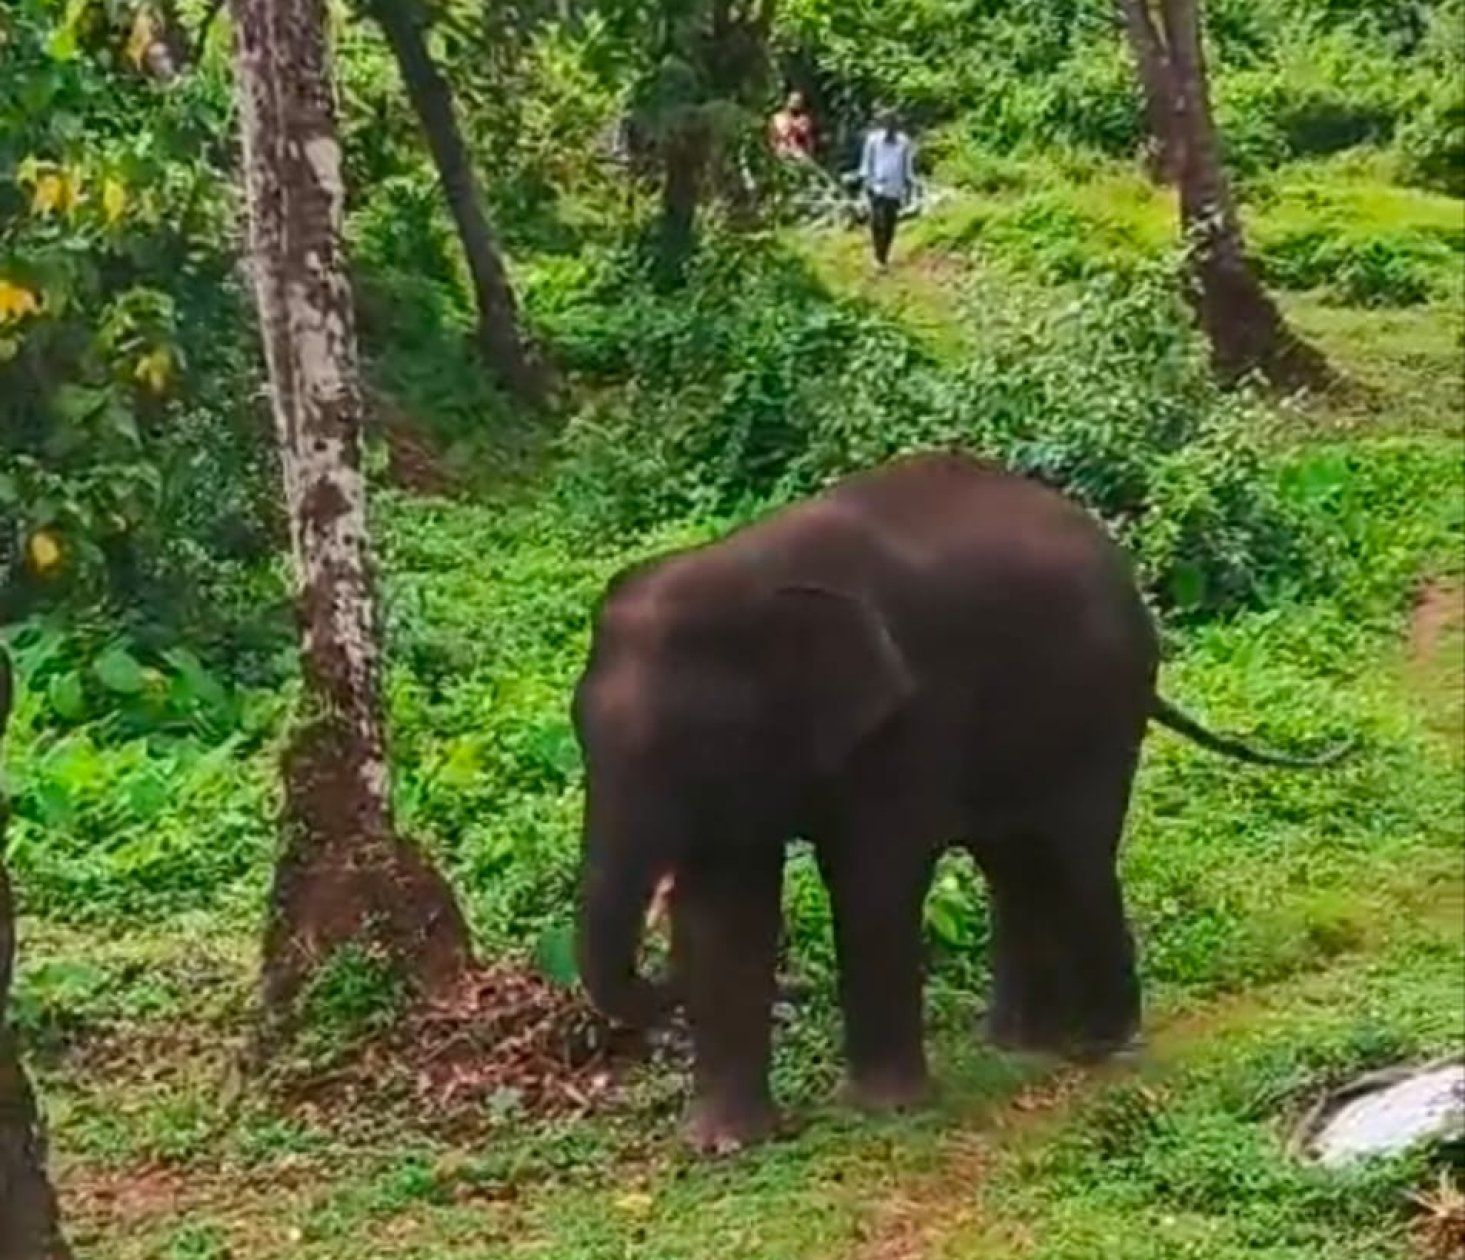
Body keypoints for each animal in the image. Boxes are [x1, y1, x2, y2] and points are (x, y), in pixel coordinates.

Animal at [570, 452, 1347, 1153]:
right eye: (578, 736)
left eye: (689, 742)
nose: (660, 965)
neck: (746, 569)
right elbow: (728, 906)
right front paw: (720, 1146)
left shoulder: (909, 718)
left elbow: (873, 879)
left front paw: (882, 1112)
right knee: (1015, 860)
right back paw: (1017, 1043)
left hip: (1102, 704)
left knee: (1073, 852)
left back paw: (1102, 1047)